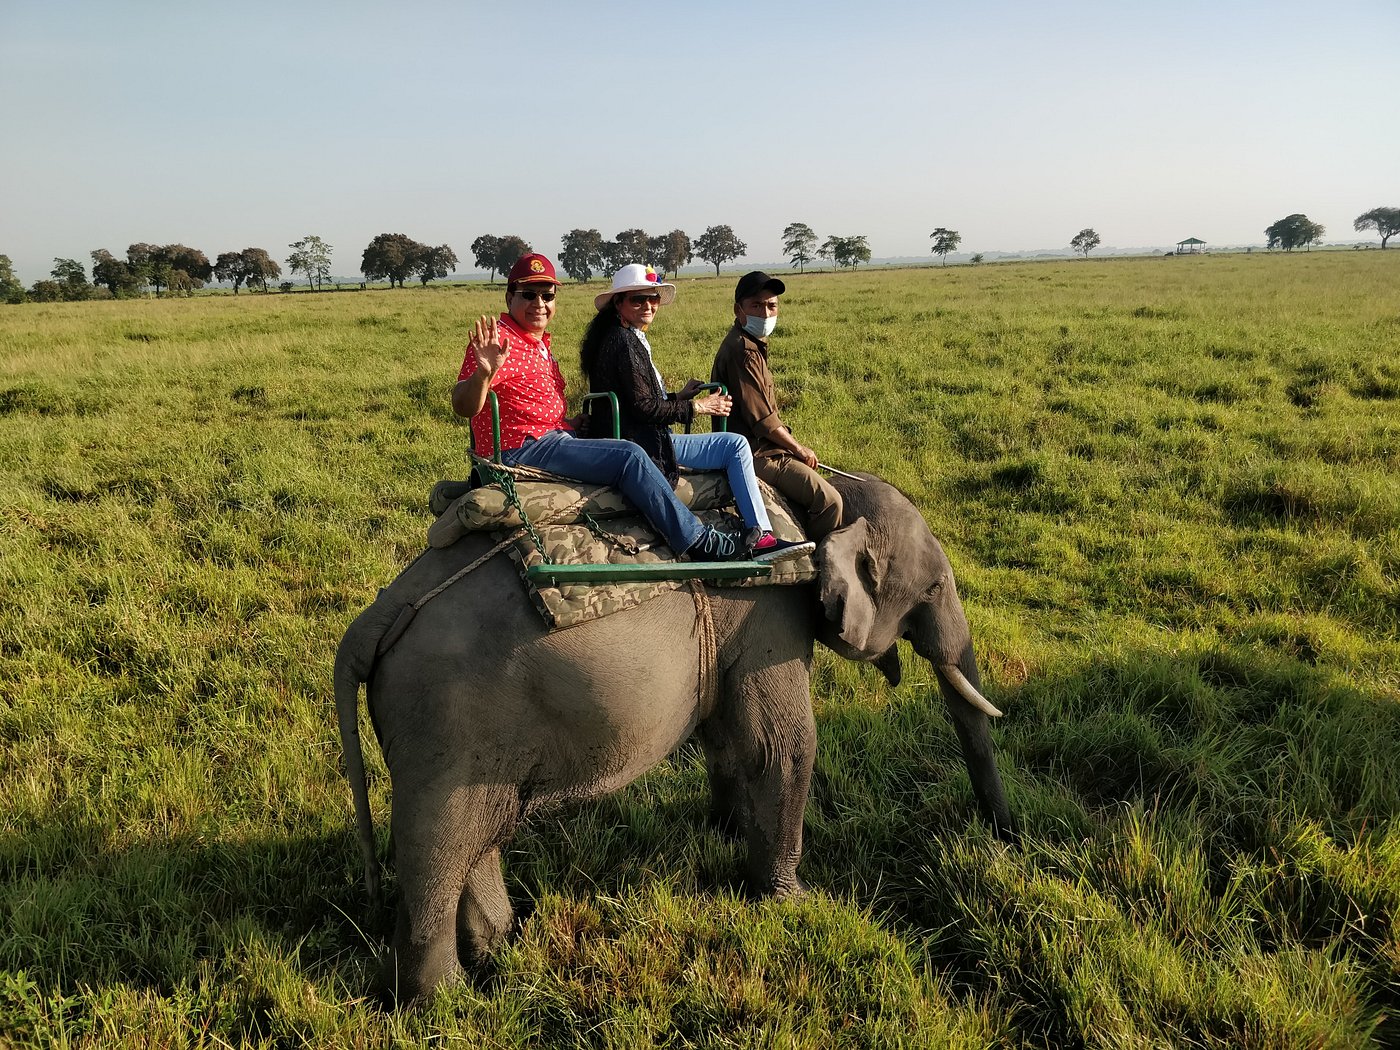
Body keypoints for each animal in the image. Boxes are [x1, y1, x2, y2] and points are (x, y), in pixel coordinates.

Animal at [334, 472, 1016, 1004]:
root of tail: (375, 617)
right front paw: (792, 903)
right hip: (444, 725)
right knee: (438, 845)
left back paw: (501, 950)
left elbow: (728, 737)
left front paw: (725, 833)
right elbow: (782, 745)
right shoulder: (768, 613)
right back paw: (445, 1004)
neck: (827, 495)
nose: (1004, 838)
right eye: (933, 590)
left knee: (481, 833)